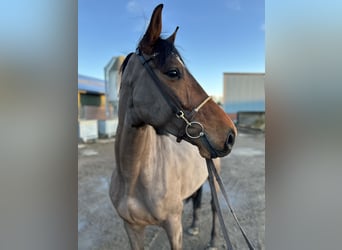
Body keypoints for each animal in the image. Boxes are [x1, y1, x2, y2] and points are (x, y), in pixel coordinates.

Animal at [111, 4, 236, 250]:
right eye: (173, 72)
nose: (230, 134)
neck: (133, 178)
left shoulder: (173, 226)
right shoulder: (132, 229)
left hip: (214, 182)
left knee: (213, 208)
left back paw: (213, 240)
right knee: (197, 200)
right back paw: (195, 225)